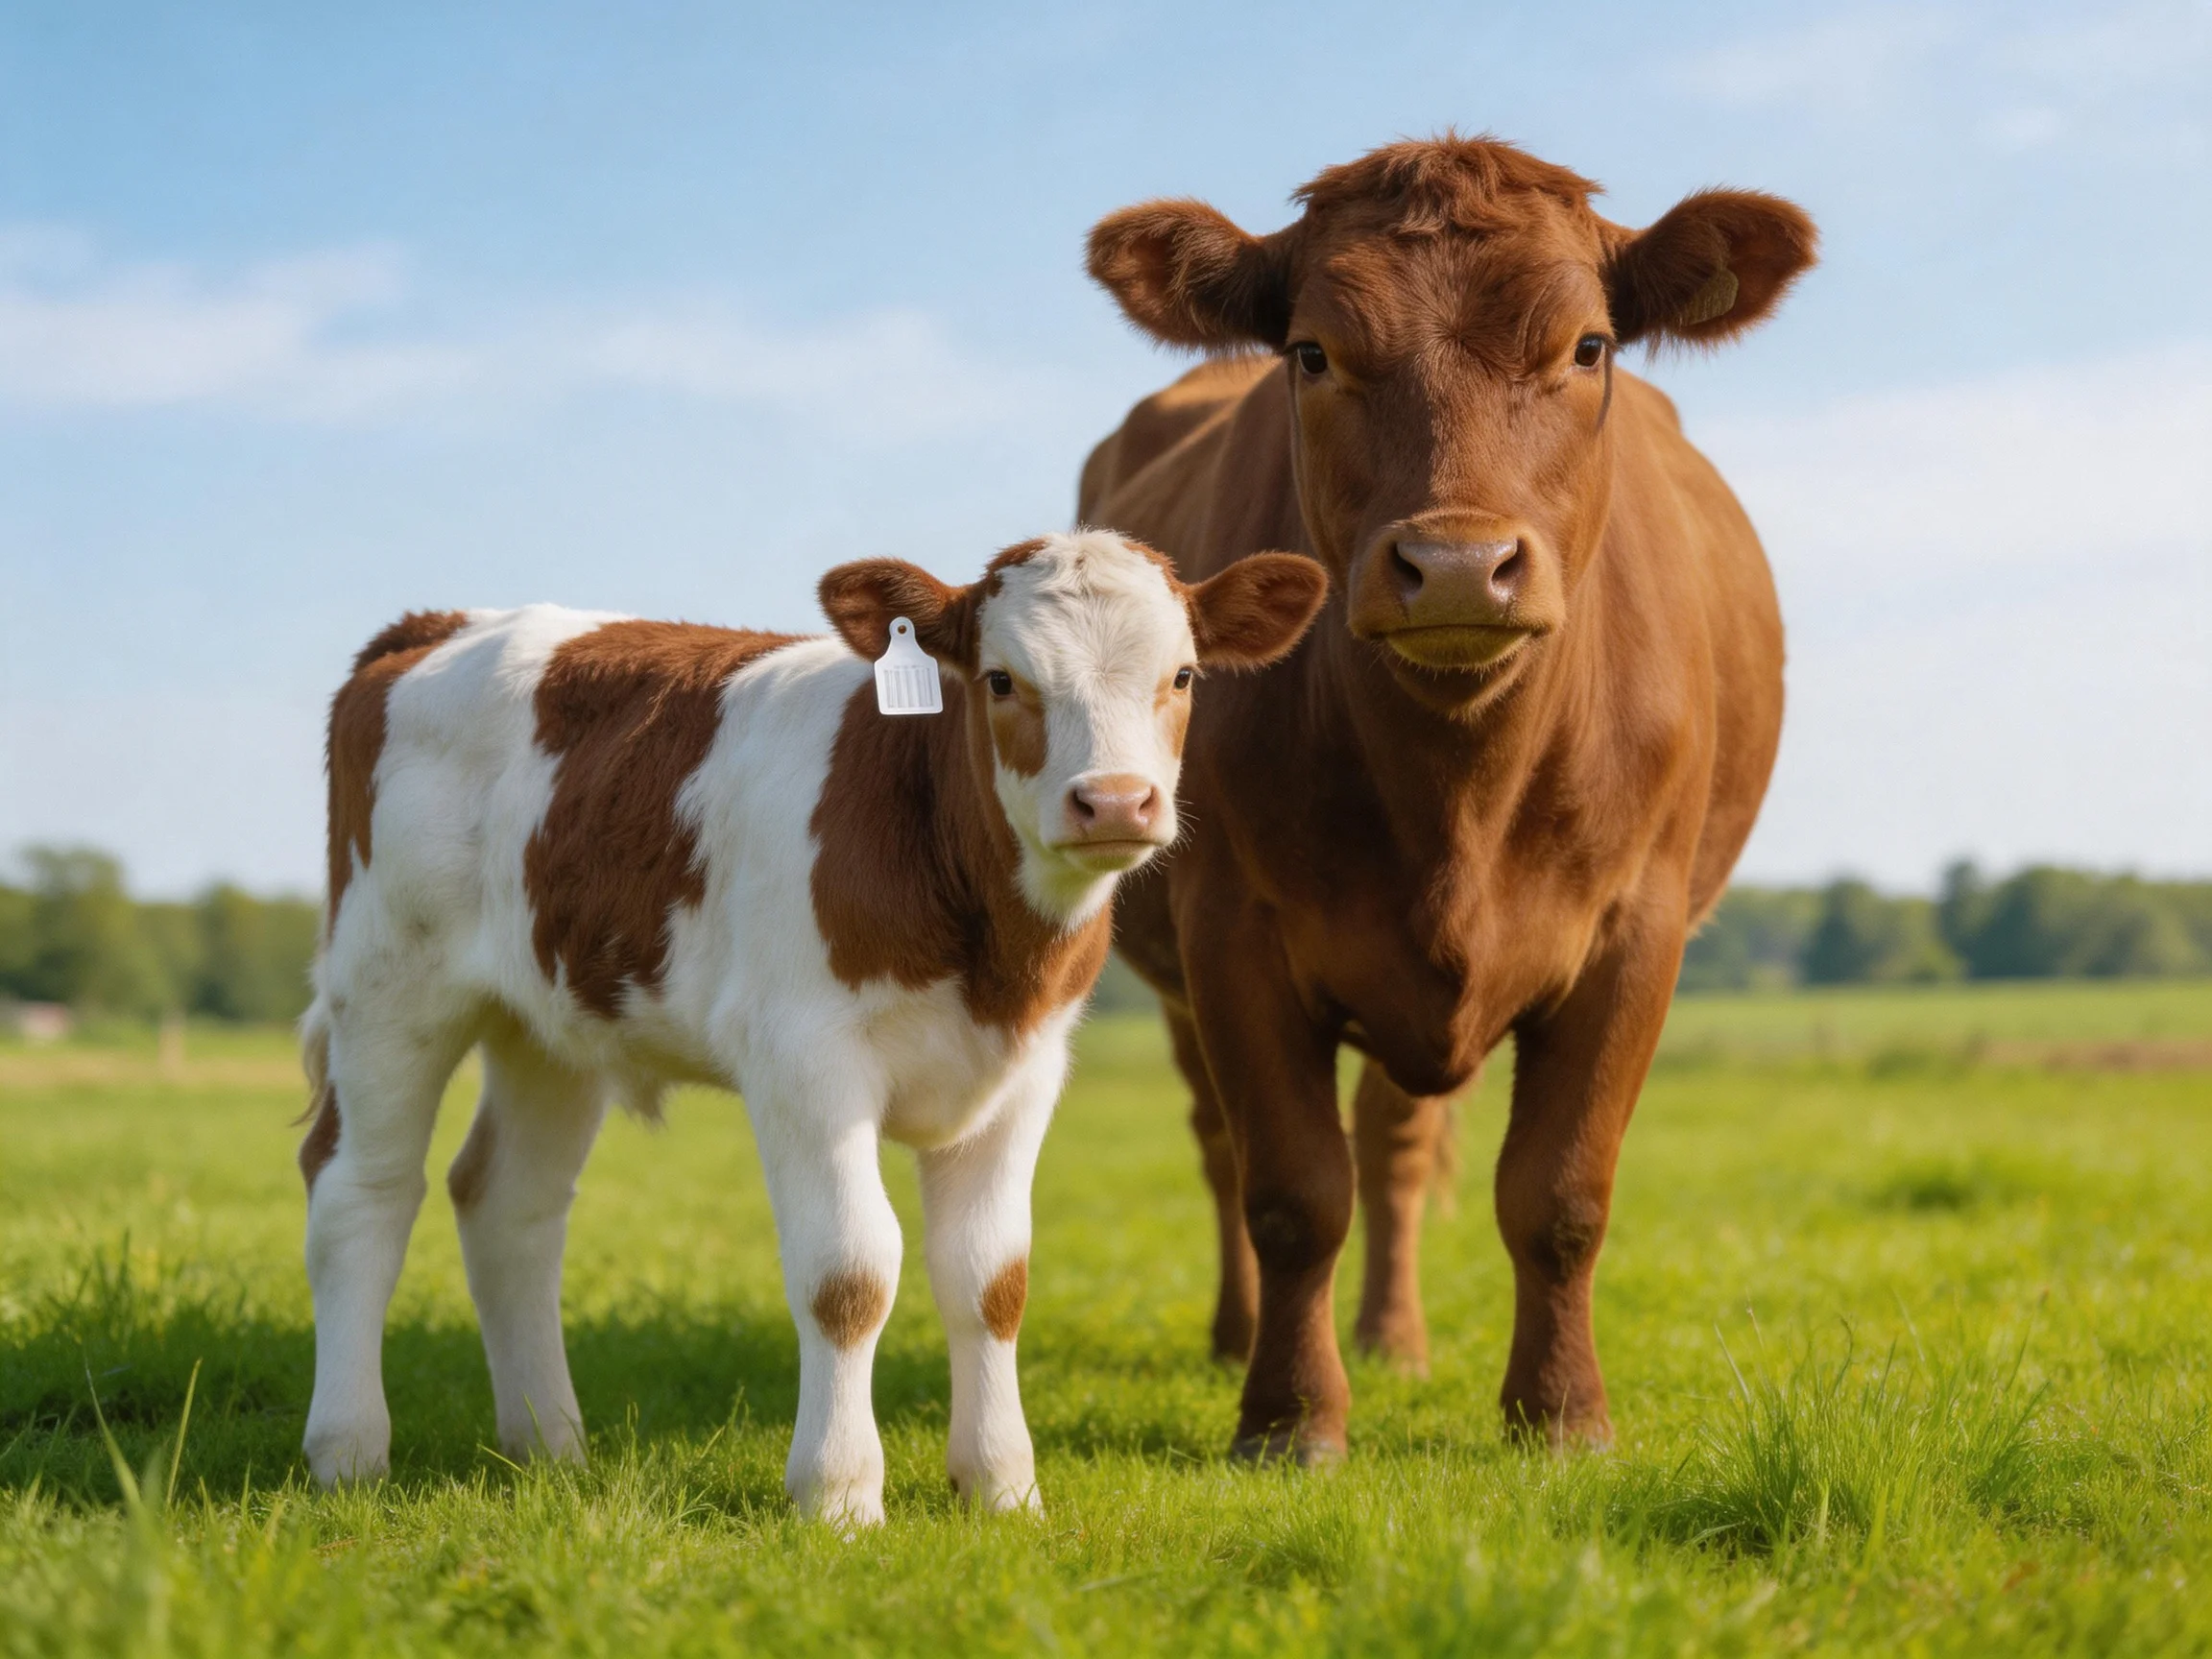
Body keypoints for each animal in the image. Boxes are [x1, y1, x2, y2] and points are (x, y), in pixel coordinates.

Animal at [294, 531, 1326, 1524]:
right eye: (1002, 678)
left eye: (1182, 676)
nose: (1114, 800)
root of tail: (441, 623)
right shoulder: (805, 1061)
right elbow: (849, 1275)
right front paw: (838, 1493)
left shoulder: (1025, 1073)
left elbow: (992, 1281)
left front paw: (1003, 1488)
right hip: (389, 985)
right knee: (361, 1194)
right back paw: (348, 1452)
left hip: (547, 1020)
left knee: (508, 1203)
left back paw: (549, 1445)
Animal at [1077, 136, 1815, 1459]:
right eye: (1313, 352)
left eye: (1589, 347)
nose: (1460, 566)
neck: (1455, 788)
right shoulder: (1230, 929)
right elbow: (1291, 1190)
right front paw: (1289, 1420)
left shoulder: (1637, 928)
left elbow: (1560, 1192)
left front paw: (1563, 1415)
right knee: (1223, 1145)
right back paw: (1236, 1336)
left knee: (1398, 1144)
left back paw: (1394, 1339)